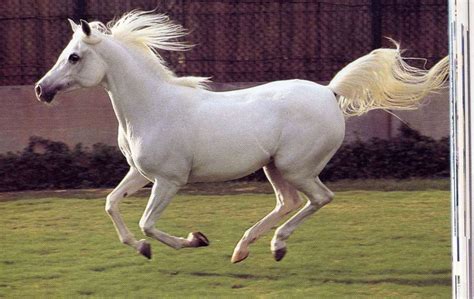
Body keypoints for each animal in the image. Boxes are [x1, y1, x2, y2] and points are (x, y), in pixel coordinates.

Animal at [34, 10, 448, 264]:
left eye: (74, 57)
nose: (41, 90)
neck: (152, 106)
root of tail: (330, 91)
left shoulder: (169, 180)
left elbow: (147, 223)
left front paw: (194, 239)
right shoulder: (140, 173)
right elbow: (111, 204)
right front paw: (142, 249)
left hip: (296, 167)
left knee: (318, 198)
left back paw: (276, 246)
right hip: (273, 167)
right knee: (288, 201)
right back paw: (244, 249)